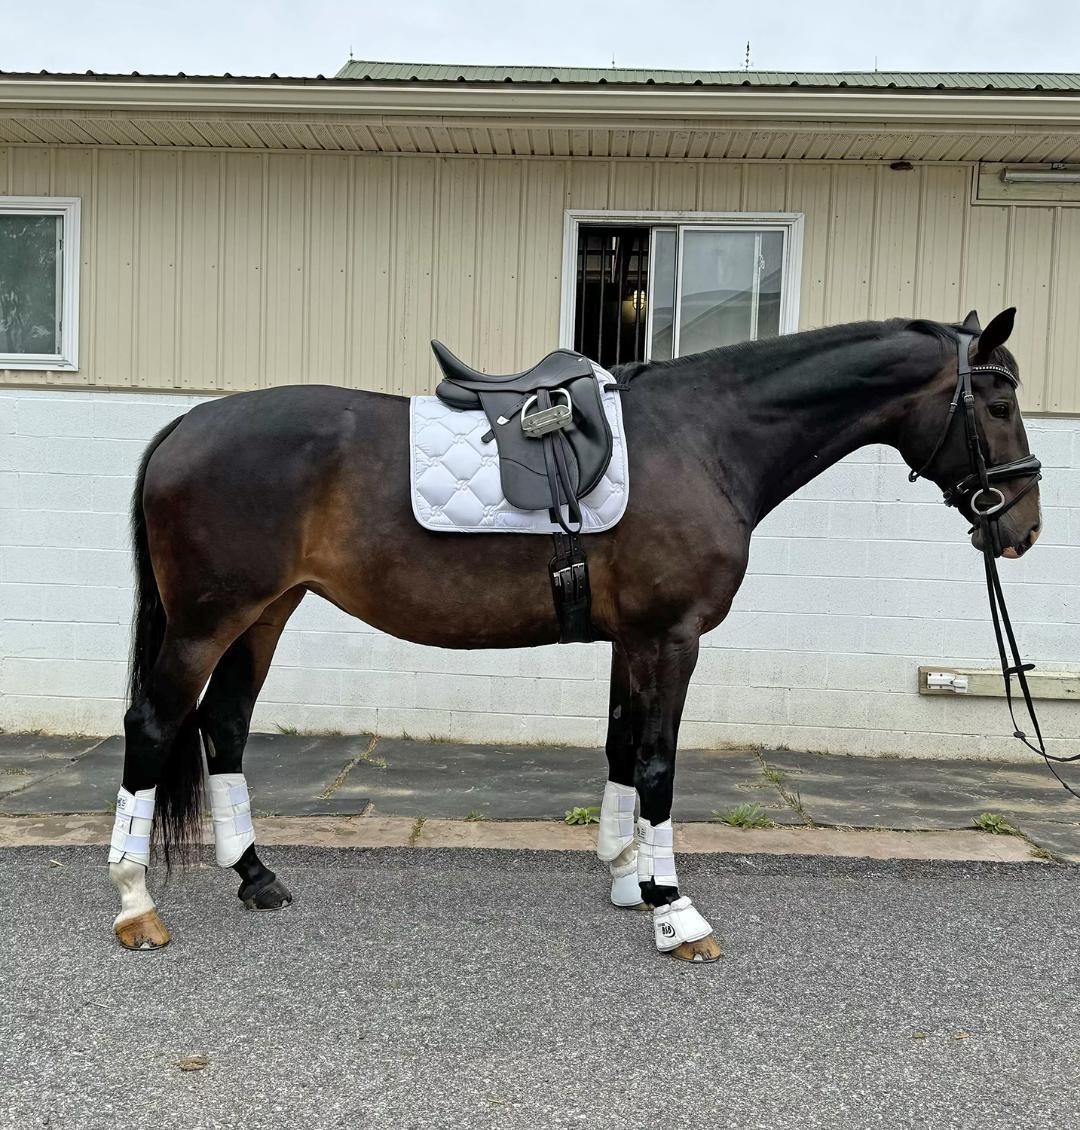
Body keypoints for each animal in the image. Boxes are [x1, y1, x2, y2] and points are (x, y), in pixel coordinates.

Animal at [106, 308, 1042, 961]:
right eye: (998, 402)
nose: (1022, 528)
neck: (702, 439)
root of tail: (183, 426)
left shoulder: (635, 641)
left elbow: (623, 750)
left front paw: (630, 878)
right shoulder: (672, 638)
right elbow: (659, 765)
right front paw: (676, 913)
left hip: (267, 612)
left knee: (224, 726)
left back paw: (256, 877)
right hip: (206, 621)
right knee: (154, 725)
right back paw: (136, 904)